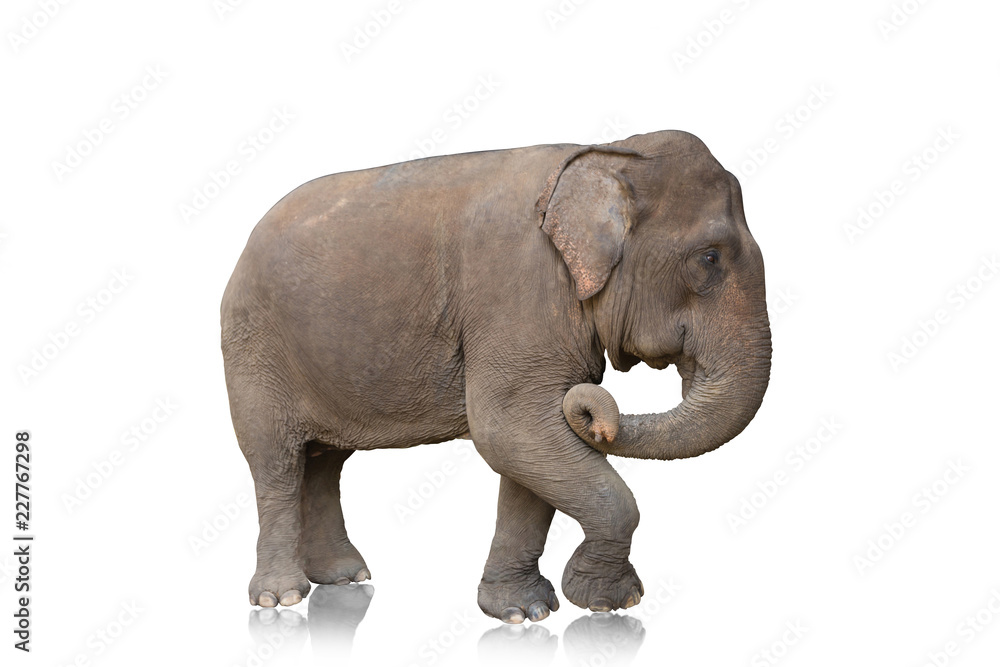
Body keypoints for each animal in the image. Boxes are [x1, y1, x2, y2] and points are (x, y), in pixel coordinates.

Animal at [221, 130, 771, 623]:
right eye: (709, 258)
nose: (596, 417)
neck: (608, 154)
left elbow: (534, 447)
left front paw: (524, 612)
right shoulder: (519, 287)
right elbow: (512, 430)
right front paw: (607, 603)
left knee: (324, 462)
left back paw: (344, 578)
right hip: (253, 347)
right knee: (276, 461)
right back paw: (280, 598)